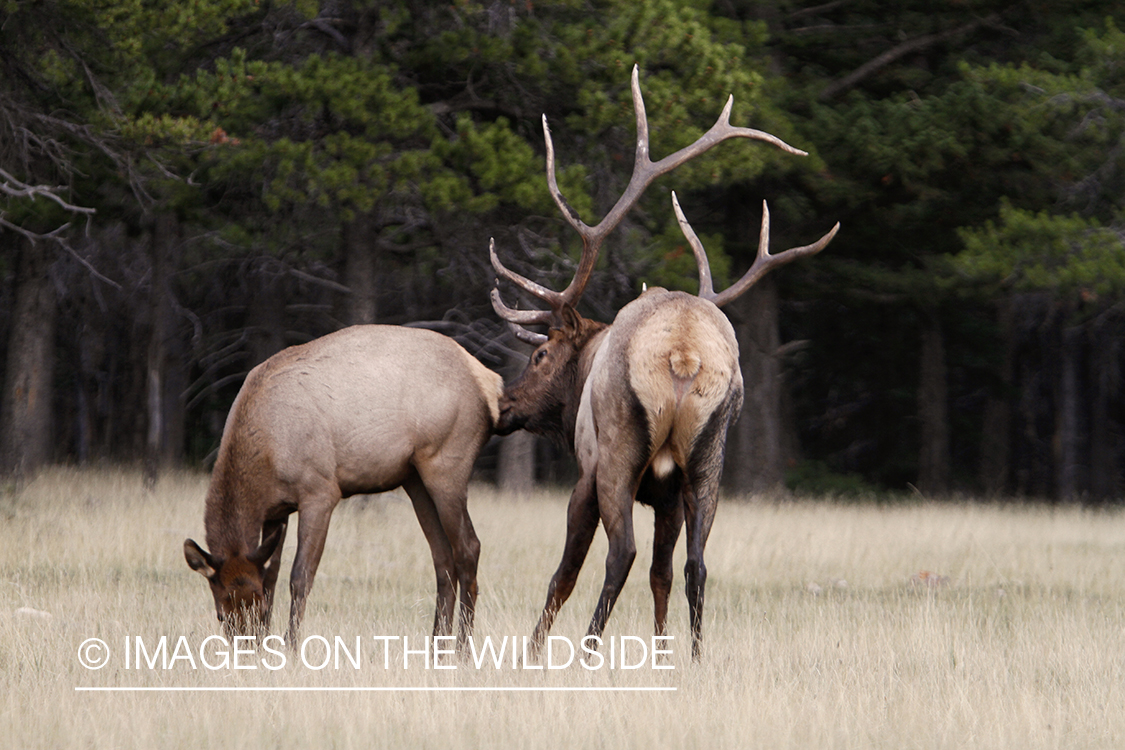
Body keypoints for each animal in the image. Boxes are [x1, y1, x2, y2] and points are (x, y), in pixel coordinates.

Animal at [184, 326, 501, 647]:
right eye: (221, 613)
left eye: (257, 605)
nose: (247, 647)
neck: (265, 457)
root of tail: (489, 380)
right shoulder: (276, 510)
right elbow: (271, 575)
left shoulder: (320, 492)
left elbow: (300, 576)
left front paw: (291, 645)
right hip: (415, 479)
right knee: (443, 557)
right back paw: (437, 647)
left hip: (447, 463)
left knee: (469, 547)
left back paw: (462, 648)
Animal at [488, 67, 841, 661]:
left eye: (539, 354)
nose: (505, 403)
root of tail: (683, 353)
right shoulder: (669, 494)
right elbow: (663, 574)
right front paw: (663, 653)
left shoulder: (586, 470)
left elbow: (566, 572)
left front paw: (532, 652)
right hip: (708, 456)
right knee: (696, 564)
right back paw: (696, 657)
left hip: (619, 452)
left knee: (620, 555)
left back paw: (587, 651)